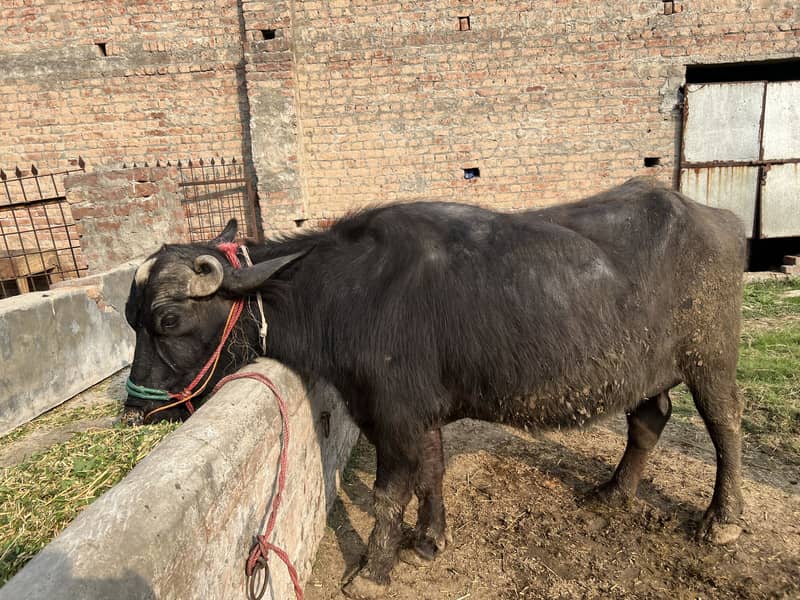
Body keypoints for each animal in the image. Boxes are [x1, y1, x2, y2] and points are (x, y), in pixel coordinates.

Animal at [124, 177, 746, 598]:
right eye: (131, 319)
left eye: (167, 320)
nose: (136, 410)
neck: (346, 291)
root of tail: (718, 218)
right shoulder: (418, 415)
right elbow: (431, 473)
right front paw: (428, 539)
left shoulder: (393, 415)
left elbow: (388, 494)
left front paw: (372, 570)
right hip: (642, 369)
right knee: (649, 419)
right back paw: (614, 492)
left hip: (711, 359)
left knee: (726, 425)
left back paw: (722, 521)